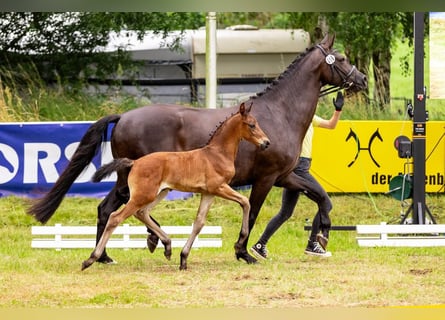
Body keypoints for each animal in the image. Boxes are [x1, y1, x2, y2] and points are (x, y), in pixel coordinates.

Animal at [81, 103, 268, 270]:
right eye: (252, 125)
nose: (266, 143)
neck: (217, 154)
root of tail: (134, 162)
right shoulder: (219, 187)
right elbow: (245, 202)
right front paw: (240, 242)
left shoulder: (208, 193)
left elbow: (199, 222)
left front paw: (183, 259)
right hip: (144, 195)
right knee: (116, 217)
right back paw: (91, 259)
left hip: (160, 192)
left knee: (141, 213)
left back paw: (167, 246)